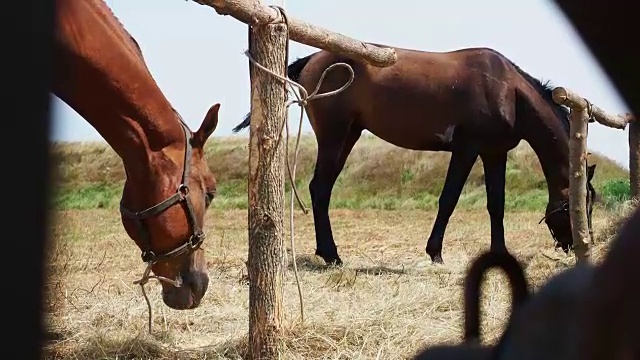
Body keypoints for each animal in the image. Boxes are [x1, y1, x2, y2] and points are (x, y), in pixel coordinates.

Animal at [234, 44, 596, 264]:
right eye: (578, 206)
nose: (580, 245)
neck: (506, 89)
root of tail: (313, 59)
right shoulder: (466, 149)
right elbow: (449, 199)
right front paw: (435, 253)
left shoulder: (494, 154)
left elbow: (497, 205)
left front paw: (499, 251)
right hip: (335, 137)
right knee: (320, 189)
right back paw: (332, 254)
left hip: (348, 135)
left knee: (320, 189)